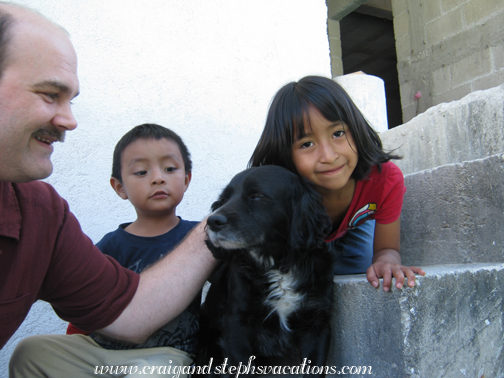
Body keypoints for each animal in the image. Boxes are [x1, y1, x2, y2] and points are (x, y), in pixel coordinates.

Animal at [197, 167, 334, 376]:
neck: (278, 266)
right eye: (224, 199)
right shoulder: (236, 324)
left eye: (257, 196)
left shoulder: (317, 323)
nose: (213, 221)